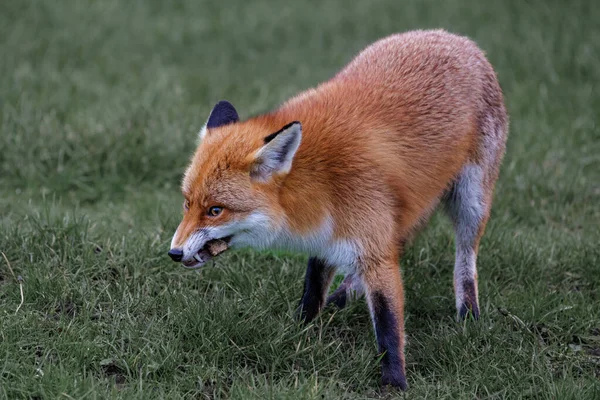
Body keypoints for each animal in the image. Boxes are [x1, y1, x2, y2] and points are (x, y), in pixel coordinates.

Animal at [168, 28, 506, 390]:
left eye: (216, 210)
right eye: (187, 203)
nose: (173, 253)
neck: (318, 181)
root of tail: (456, 38)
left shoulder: (372, 243)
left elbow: (388, 323)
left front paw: (394, 383)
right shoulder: (330, 234)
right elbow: (313, 290)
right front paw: (301, 331)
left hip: (471, 204)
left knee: (465, 262)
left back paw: (468, 313)